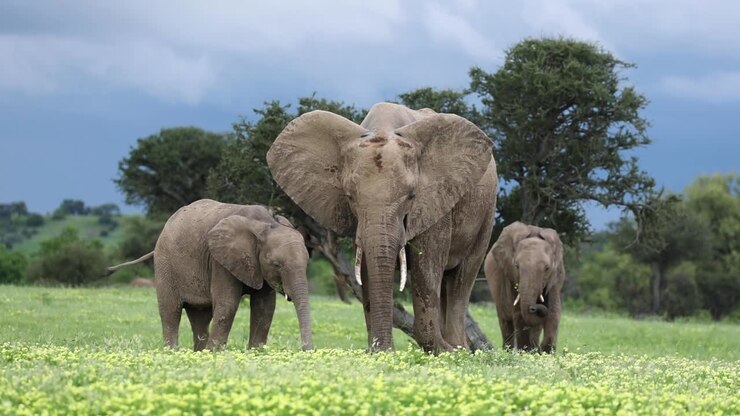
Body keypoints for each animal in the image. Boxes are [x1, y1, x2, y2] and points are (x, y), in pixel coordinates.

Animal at [107, 199, 313, 351]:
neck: (266, 223)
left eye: (307, 263)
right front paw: (215, 354)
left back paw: (198, 353)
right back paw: (173, 352)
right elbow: (228, 304)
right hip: (165, 264)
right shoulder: (219, 261)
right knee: (170, 311)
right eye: (277, 264)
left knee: (200, 317)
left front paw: (255, 353)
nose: (308, 350)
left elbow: (265, 308)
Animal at [267, 102, 497, 352]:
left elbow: (426, 266)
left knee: (462, 276)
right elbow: (367, 268)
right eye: (349, 196)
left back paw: (458, 349)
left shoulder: (436, 201)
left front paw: (442, 351)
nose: (382, 348)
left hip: (487, 209)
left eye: (412, 195)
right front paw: (379, 352)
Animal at [484, 222, 565, 353]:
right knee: (505, 322)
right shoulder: (510, 276)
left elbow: (554, 311)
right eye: (516, 266)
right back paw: (510, 351)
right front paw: (527, 353)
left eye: (547, 268)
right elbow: (519, 314)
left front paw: (545, 352)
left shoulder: (555, 277)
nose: (533, 308)